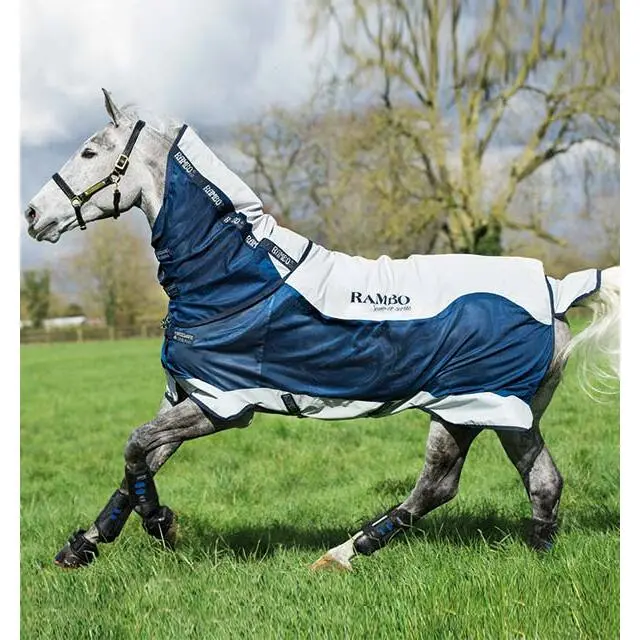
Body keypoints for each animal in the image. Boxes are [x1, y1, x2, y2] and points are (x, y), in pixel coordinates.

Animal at [24, 89, 620, 571]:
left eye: (90, 152)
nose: (32, 214)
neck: (235, 277)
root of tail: (555, 288)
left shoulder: (223, 405)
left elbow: (134, 448)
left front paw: (160, 524)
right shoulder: (189, 395)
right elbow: (139, 462)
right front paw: (83, 546)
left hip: (474, 405)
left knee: (441, 484)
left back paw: (345, 553)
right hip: (500, 412)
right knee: (537, 482)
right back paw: (529, 553)